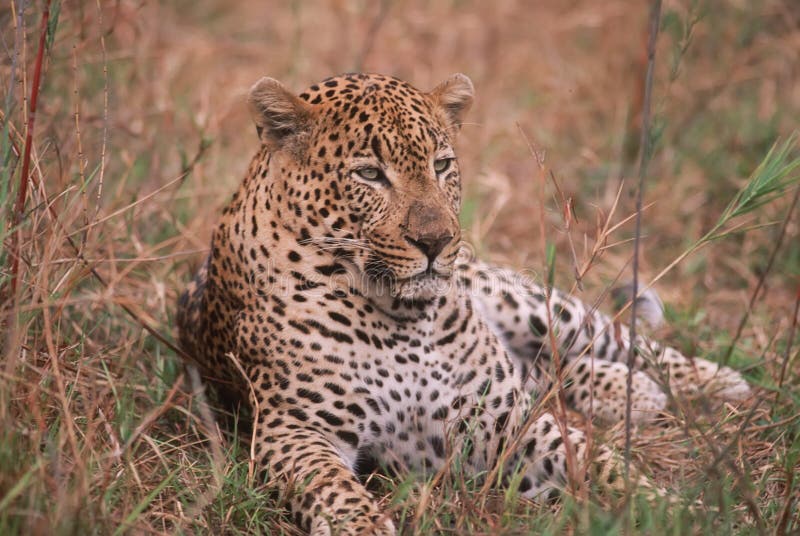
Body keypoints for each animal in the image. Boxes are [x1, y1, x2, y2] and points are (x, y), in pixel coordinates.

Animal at [176, 72, 751, 535]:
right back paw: (627, 391)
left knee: (615, 339)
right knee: (548, 370)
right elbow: (333, 490)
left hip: (530, 304)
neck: (400, 319)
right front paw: (363, 525)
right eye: (369, 174)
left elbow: (597, 461)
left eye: (442, 164)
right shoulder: (293, 430)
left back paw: (719, 381)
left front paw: (671, 507)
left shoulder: (504, 420)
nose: (436, 242)